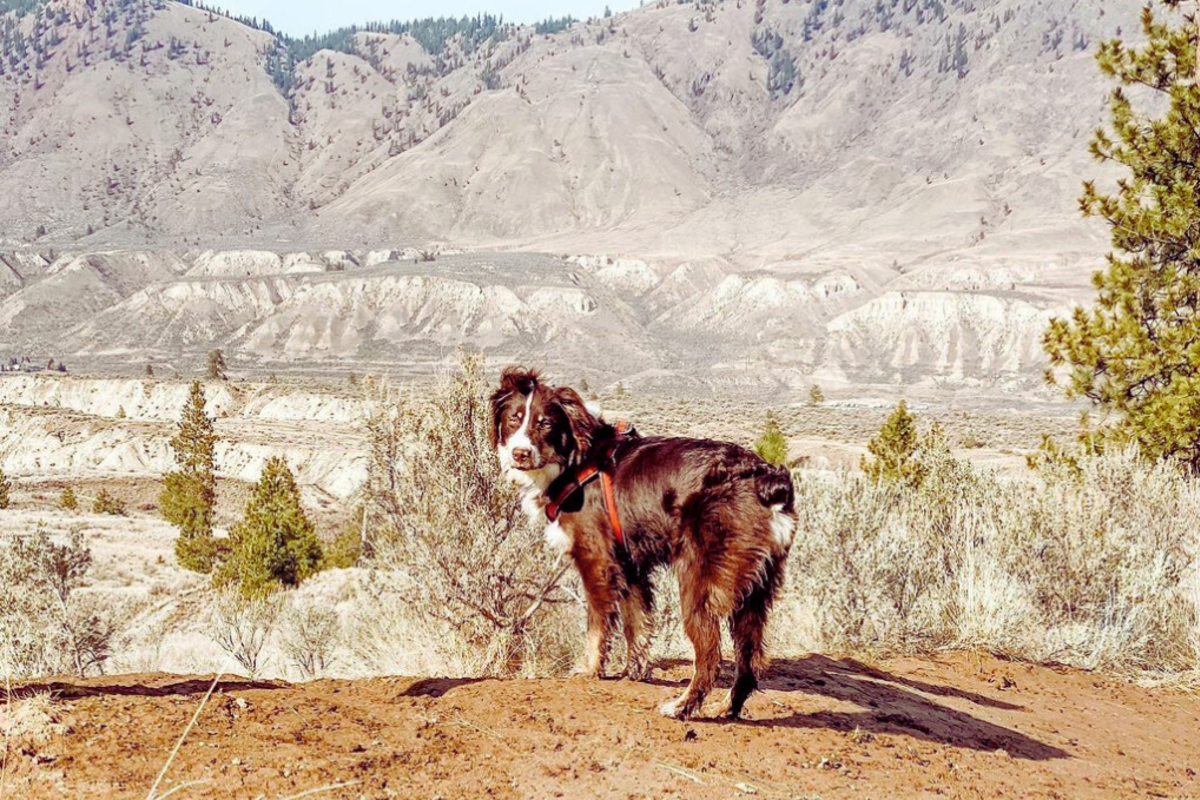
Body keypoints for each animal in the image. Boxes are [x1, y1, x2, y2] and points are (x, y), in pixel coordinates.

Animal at [489, 367, 796, 724]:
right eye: (514, 419)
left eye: (545, 423)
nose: (520, 453)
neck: (577, 459)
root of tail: (766, 479)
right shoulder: (630, 564)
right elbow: (636, 622)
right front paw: (633, 672)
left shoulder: (598, 561)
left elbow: (597, 627)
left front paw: (589, 670)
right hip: (754, 590)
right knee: (748, 660)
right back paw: (727, 708)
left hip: (701, 583)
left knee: (709, 654)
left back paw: (683, 706)